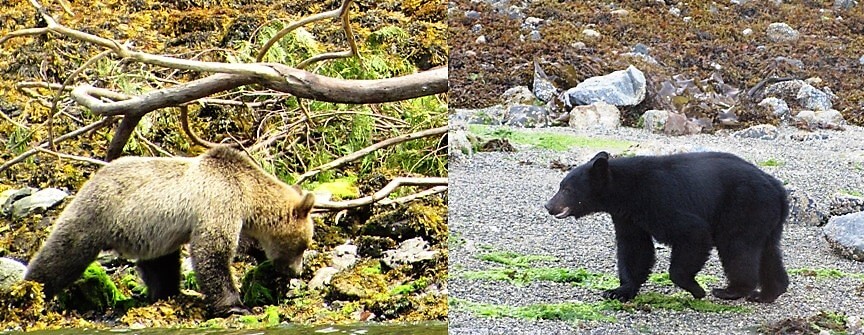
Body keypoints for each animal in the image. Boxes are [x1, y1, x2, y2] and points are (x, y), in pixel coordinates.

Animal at [24, 146, 318, 316]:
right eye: (303, 245)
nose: (297, 271)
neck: (248, 195)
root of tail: (91, 178)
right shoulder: (220, 201)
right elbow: (212, 252)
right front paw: (235, 305)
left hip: (150, 233)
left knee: (160, 265)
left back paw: (167, 293)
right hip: (97, 214)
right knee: (63, 254)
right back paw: (30, 292)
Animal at [548, 152, 788, 304]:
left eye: (567, 189)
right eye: (561, 186)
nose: (549, 206)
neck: (627, 191)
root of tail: (777, 188)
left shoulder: (660, 200)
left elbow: (693, 232)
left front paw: (696, 289)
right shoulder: (627, 216)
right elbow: (634, 248)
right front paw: (618, 291)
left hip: (744, 205)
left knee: (737, 246)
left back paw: (731, 290)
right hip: (766, 216)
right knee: (769, 250)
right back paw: (768, 292)